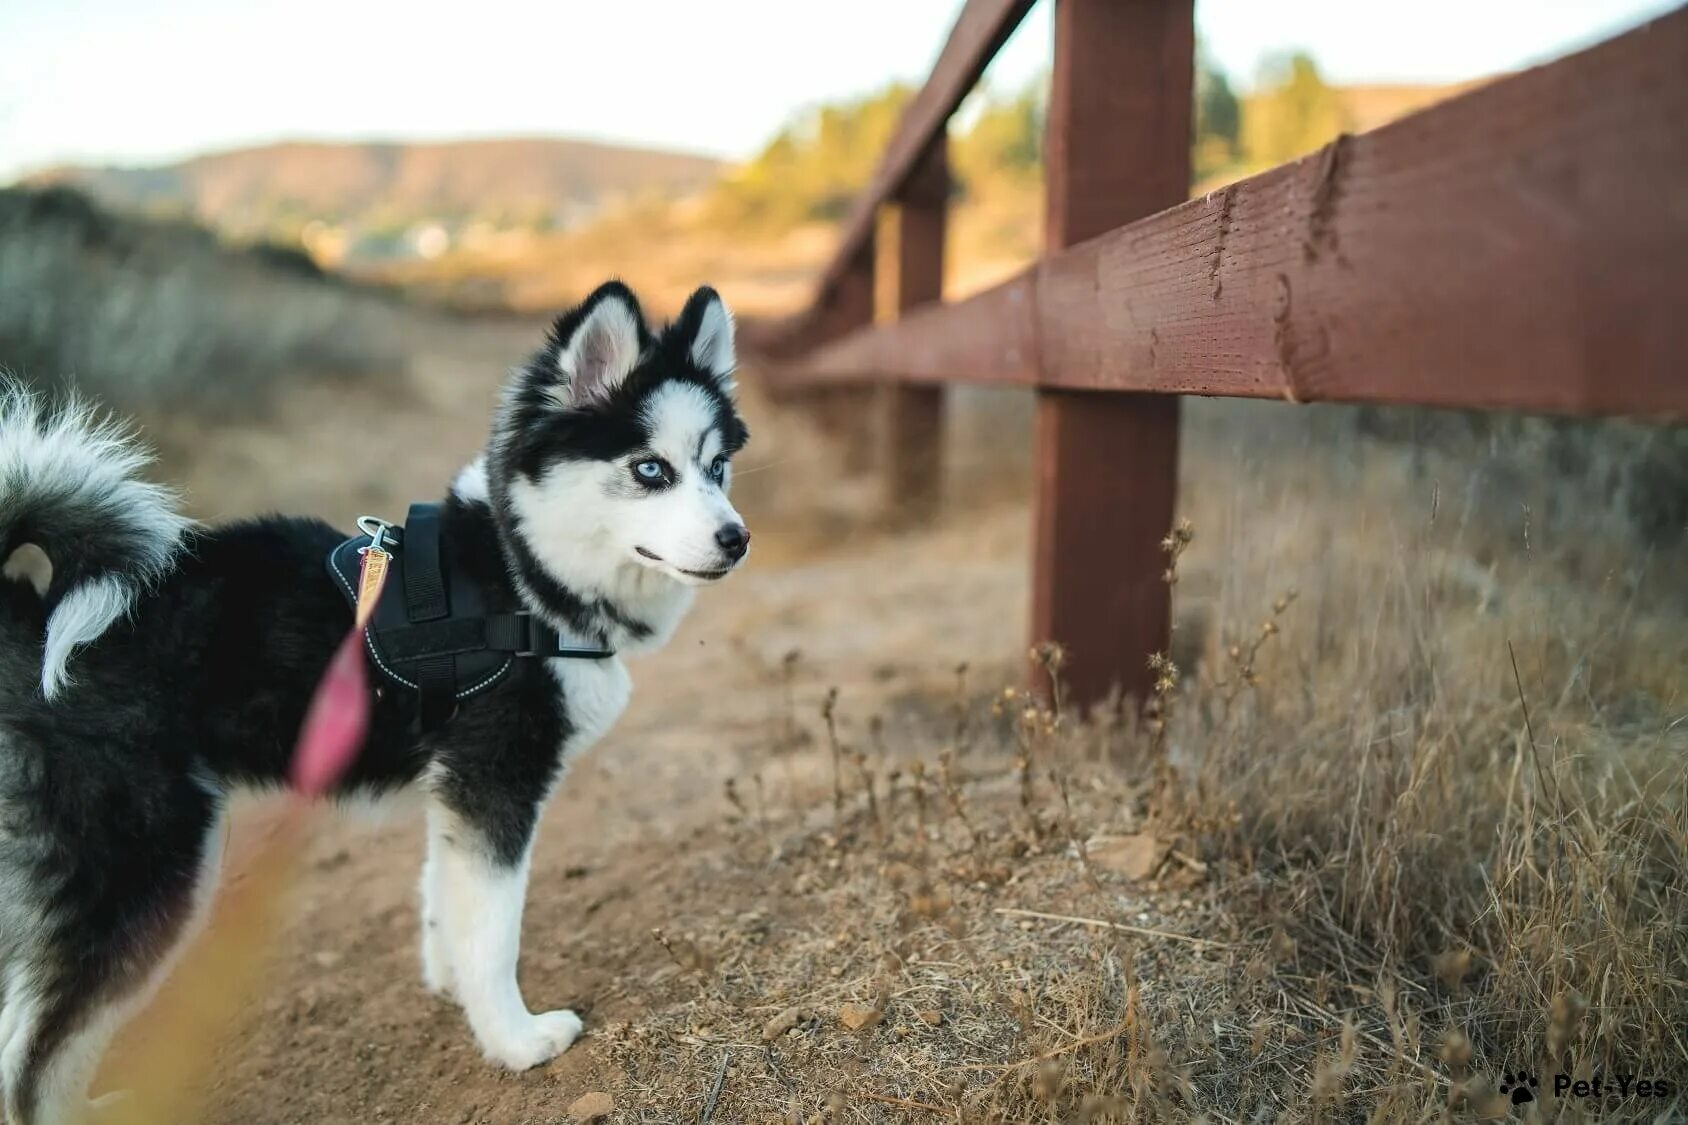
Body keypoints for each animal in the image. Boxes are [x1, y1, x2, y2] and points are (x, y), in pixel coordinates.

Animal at [0, 282, 752, 1121]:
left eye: (717, 466)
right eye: (650, 468)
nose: (737, 538)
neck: (520, 574)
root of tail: (34, 612)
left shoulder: (455, 790)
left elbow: (446, 899)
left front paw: (455, 989)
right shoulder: (496, 782)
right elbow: (494, 930)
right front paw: (517, 1040)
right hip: (144, 865)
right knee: (33, 1049)